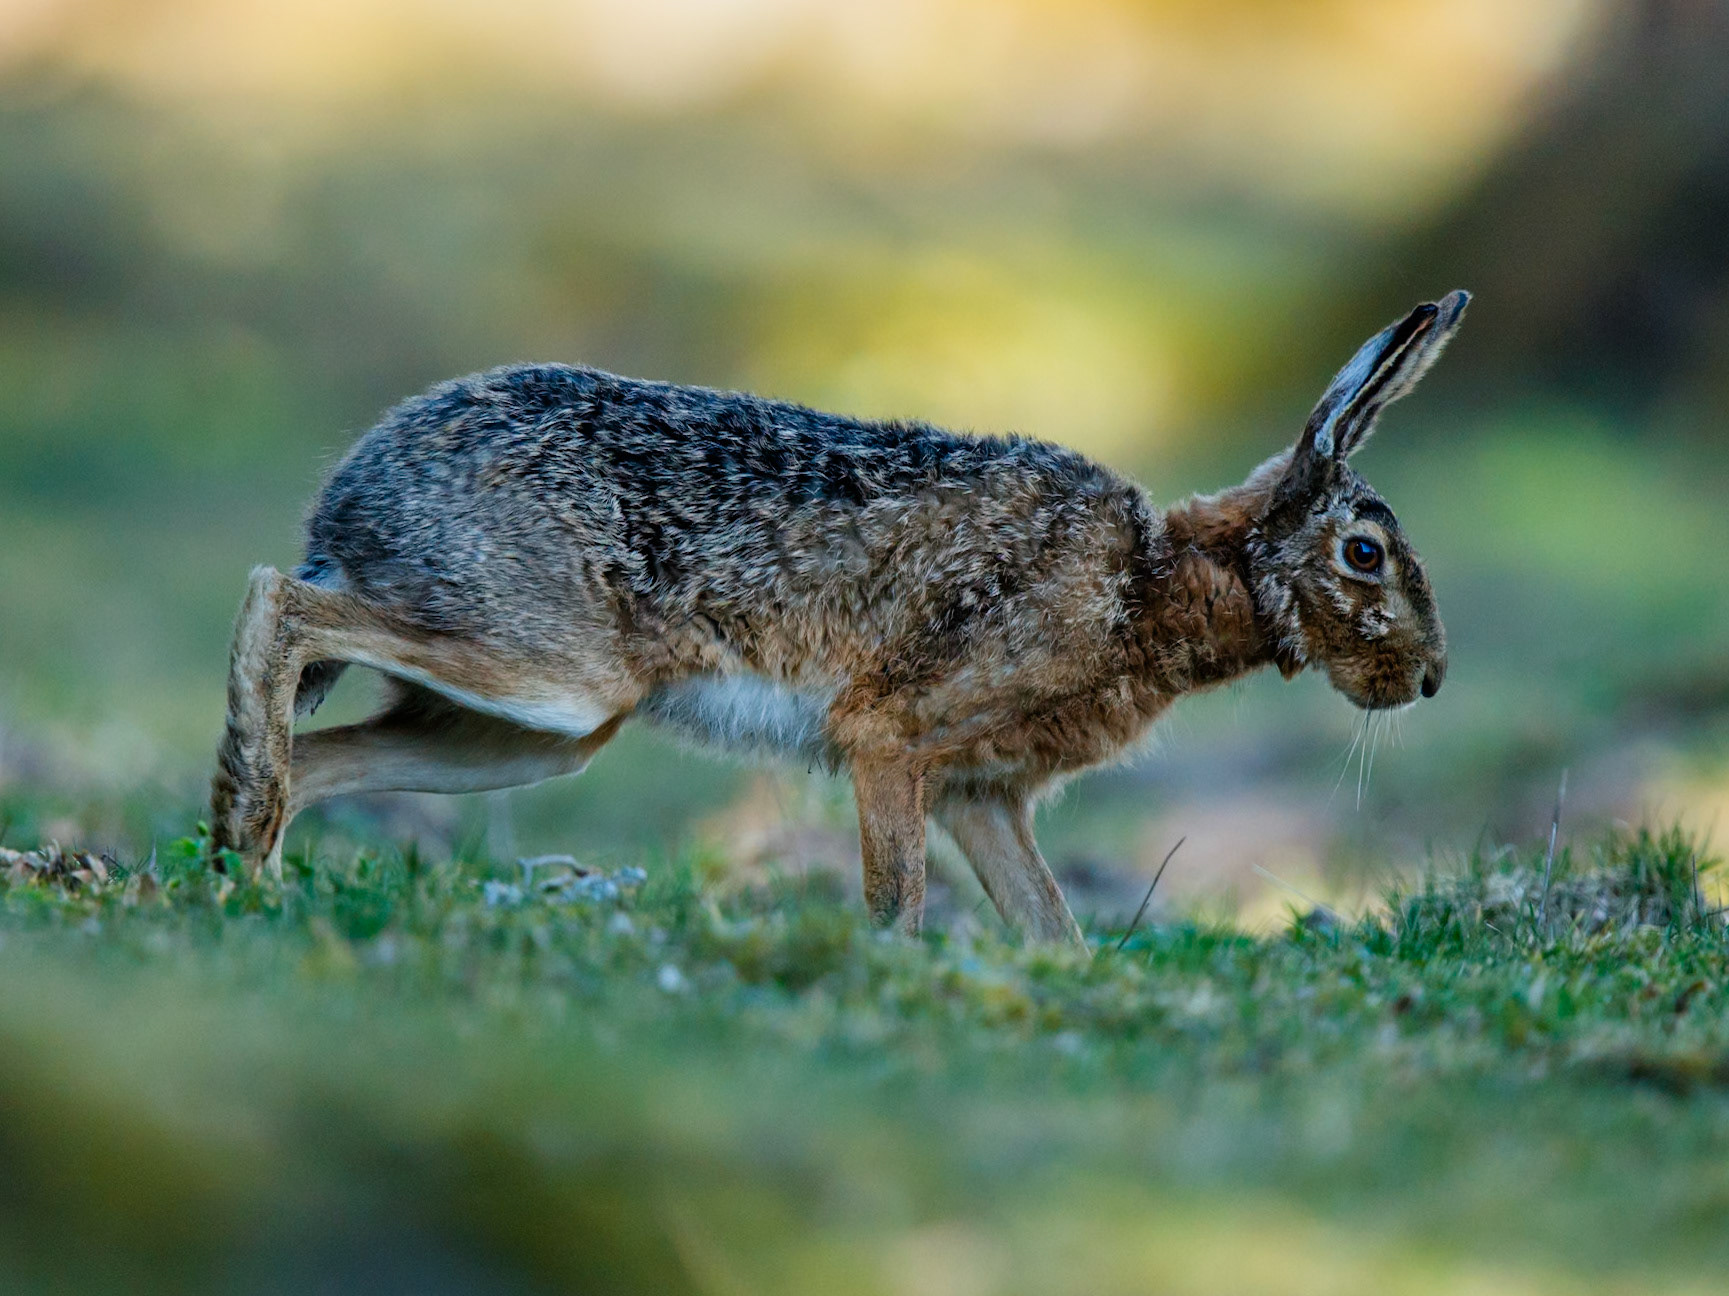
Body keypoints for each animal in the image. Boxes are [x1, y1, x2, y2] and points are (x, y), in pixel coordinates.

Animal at [210, 290, 1467, 945]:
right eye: (1363, 555)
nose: (1428, 682)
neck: (1155, 580)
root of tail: (353, 498)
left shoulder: (982, 796)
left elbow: (1046, 920)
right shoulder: (894, 742)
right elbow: (896, 897)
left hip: (524, 735)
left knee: (329, 754)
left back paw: (242, 867)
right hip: (552, 670)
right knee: (281, 603)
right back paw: (244, 824)